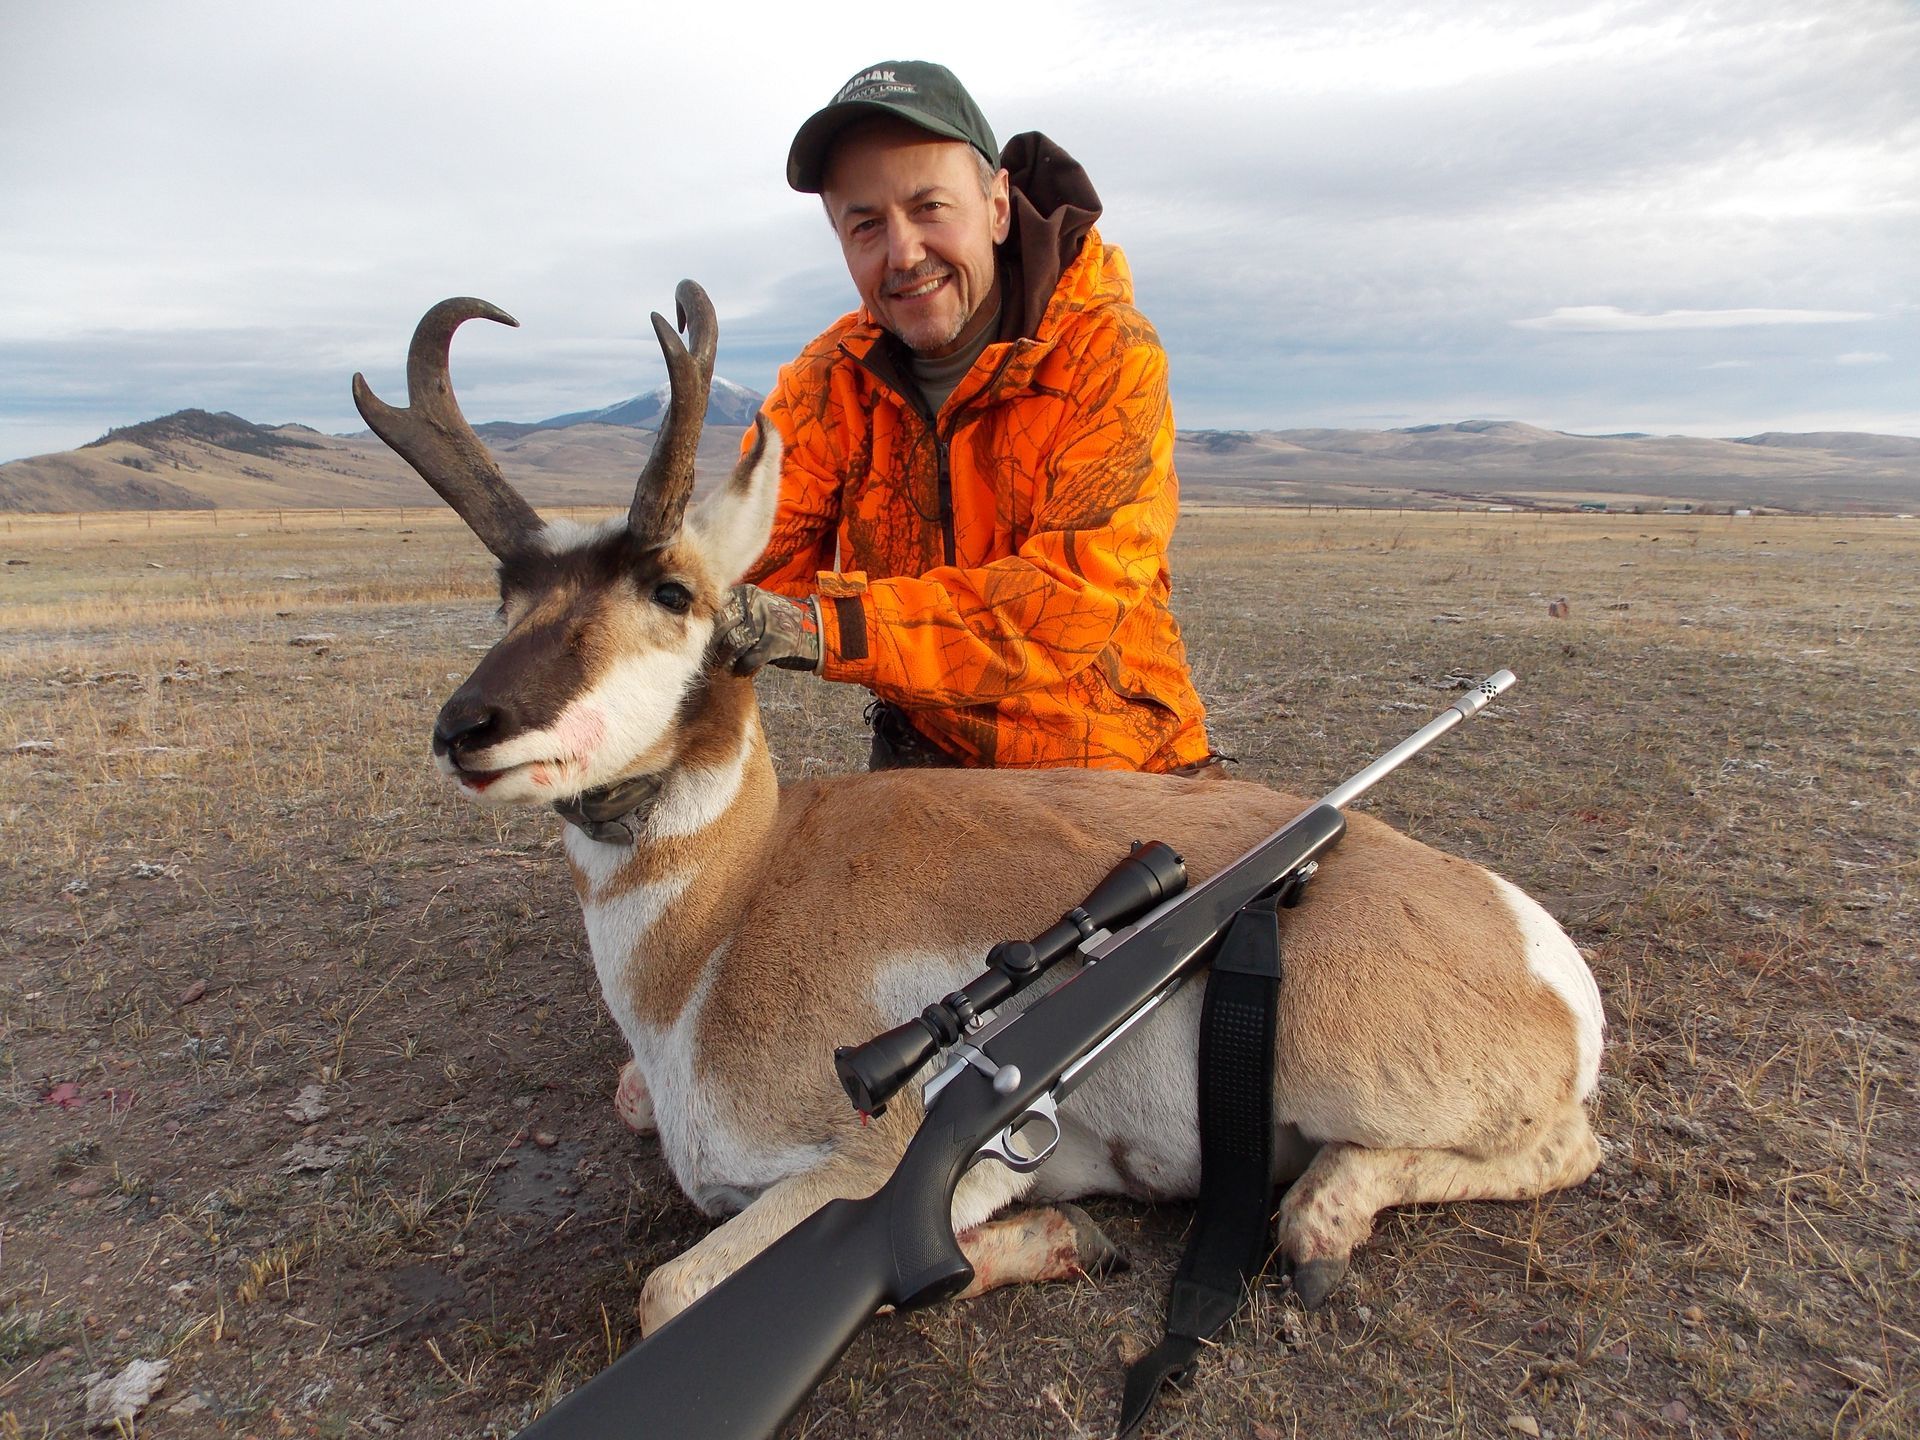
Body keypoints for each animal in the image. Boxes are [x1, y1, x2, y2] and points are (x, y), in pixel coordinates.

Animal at [352, 283, 1605, 1335]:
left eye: (672, 591)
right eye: (507, 594)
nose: (466, 727)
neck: (728, 912)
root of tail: (1538, 948)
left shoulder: (885, 1161)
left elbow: (673, 1292)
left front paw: (1055, 1236)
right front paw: (1068, 1240)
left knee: (1565, 1149)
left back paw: (1319, 1222)